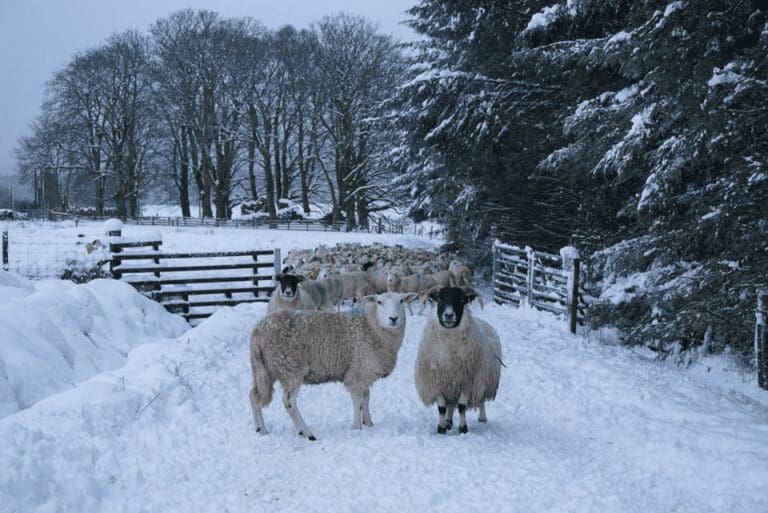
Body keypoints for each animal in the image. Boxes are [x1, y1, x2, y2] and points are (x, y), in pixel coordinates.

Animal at [249, 292, 419, 440]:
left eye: (401, 301)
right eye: (379, 302)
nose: (393, 318)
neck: (370, 326)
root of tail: (258, 330)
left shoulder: (364, 371)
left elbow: (366, 398)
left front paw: (369, 423)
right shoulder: (356, 372)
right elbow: (358, 401)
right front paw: (357, 427)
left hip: (265, 369)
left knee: (254, 395)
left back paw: (261, 429)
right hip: (291, 368)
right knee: (288, 401)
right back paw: (306, 432)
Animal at [415, 286, 502, 434]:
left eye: (461, 300)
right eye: (439, 298)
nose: (449, 315)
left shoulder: (468, 382)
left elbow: (462, 407)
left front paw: (463, 428)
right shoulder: (437, 383)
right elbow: (442, 408)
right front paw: (442, 428)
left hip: (483, 380)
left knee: (481, 400)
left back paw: (482, 418)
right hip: (452, 386)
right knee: (450, 405)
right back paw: (449, 422)